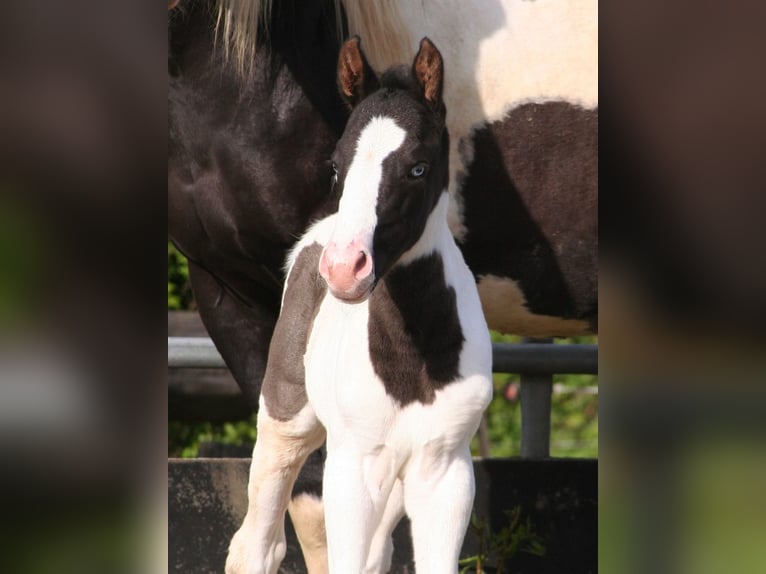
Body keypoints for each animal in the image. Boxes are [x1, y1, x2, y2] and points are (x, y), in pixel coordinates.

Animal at [225, 37, 496, 574]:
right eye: (335, 165)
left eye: (417, 166)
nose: (344, 268)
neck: (411, 359)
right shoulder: (351, 467)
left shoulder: (446, 472)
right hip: (286, 420)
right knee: (258, 544)